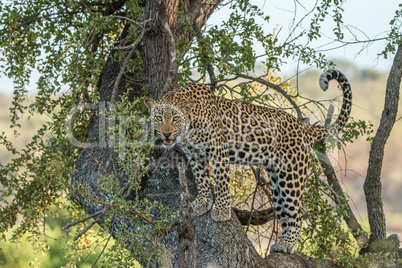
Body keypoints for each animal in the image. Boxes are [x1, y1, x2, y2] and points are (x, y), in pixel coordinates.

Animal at [144, 69, 352, 253]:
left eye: (175, 118)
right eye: (159, 117)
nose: (166, 134)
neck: (189, 125)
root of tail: (304, 127)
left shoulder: (219, 150)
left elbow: (221, 182)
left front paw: (221, 210)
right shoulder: (195, 154)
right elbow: (201, 178)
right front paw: (202, 202)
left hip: (291, 175)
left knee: (297, 214)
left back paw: (287, 245)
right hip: (276, 182)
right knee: (284, 214)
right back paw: (281, 243)